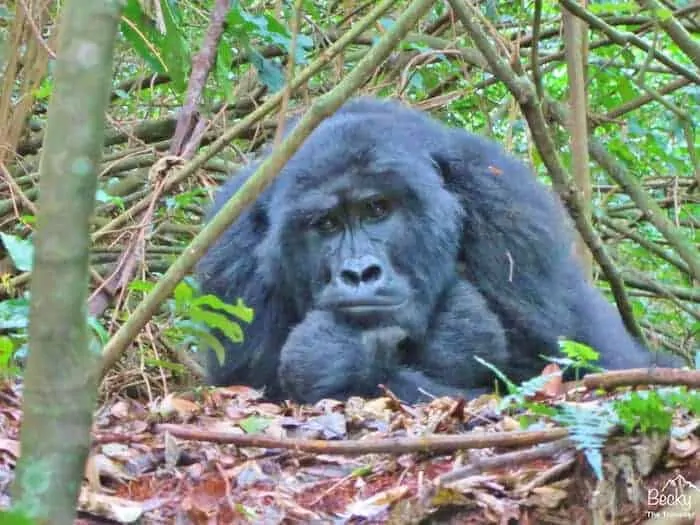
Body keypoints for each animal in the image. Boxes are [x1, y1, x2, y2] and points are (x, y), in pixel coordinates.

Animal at [194, 96, 676, 404]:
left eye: (377, 209)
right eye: (326, 225)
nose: (359, 273)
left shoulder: (505, 205)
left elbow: (563, 371)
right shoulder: (232, 244)